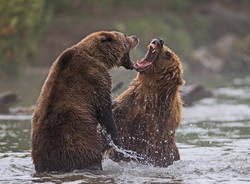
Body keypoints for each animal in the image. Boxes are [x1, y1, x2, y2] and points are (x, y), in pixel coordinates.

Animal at [31, 30, 139, 173]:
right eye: (125, 36)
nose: (135, 37)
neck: (99, 58)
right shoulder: (96, 79)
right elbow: (104, 111)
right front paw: (118, 141)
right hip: (81, 143)